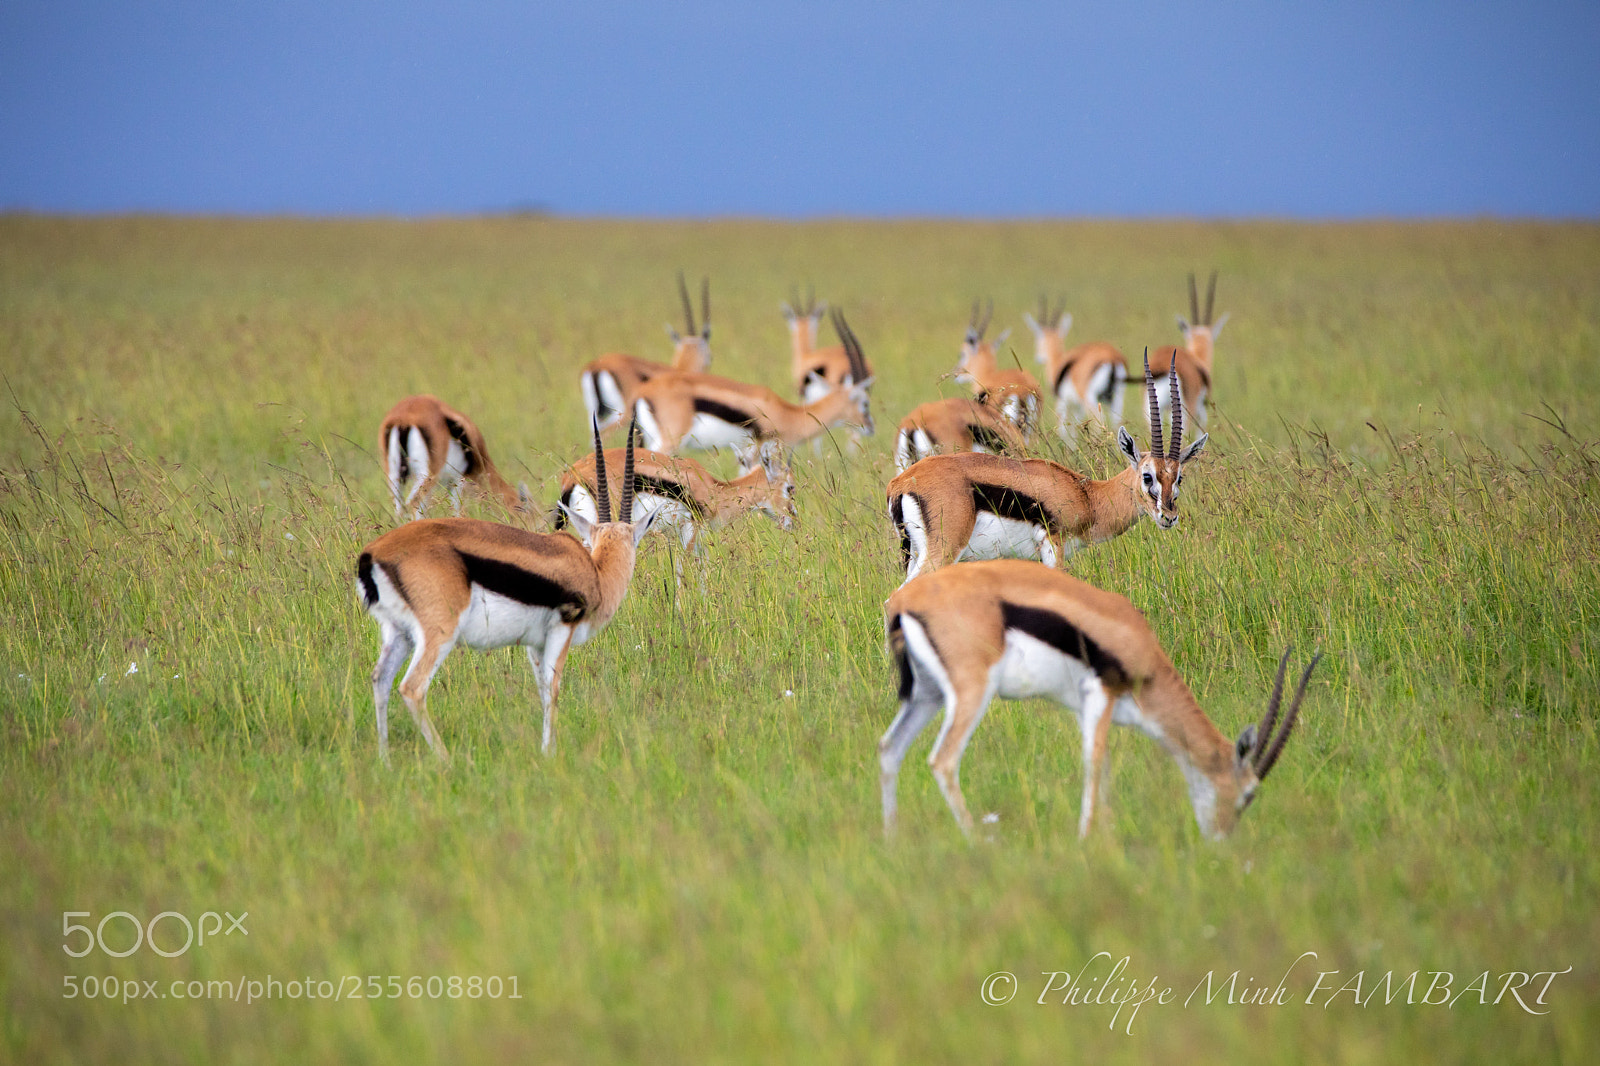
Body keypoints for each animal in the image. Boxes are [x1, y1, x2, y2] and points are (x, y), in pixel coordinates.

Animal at [355, 416, 656, 762]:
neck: (595, 572)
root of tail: (373, 554)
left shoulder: (535, 644)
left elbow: (542, 691)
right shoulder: (562, 630)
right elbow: (553, 688)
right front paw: (549, 755)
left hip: (398, 633)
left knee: (380, 680)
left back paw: (385, 761)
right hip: (438, 633)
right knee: (412, 688)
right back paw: (446, 761)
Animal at [379, 395, 530, 520]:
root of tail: (403, 419)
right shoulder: (458, 480)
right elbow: (457, 513)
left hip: (394, 477)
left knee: (400, 511)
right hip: (427, 476)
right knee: (411, 506)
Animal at [879, 558, 1320, 840]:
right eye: (1248, 794)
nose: (1222, 841)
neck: (1140, 648)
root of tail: (904, 602)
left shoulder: (1084, 707)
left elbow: (1102, 766)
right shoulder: (1103, 693)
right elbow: (1093, 764)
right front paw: (1086, 842)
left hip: (926, 696)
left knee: (889, 749)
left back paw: (892, 842)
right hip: (971, 692)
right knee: (943, 760)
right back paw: (977, 842)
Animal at [1022, 294, 1128, 443]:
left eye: (1038, 338)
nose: (1038, 357)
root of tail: (1112, 357)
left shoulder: (1062, 402)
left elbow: (1064, 431)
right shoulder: (1077, 407)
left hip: (1090, 400)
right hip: (1117, 399)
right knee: (1116, 425)